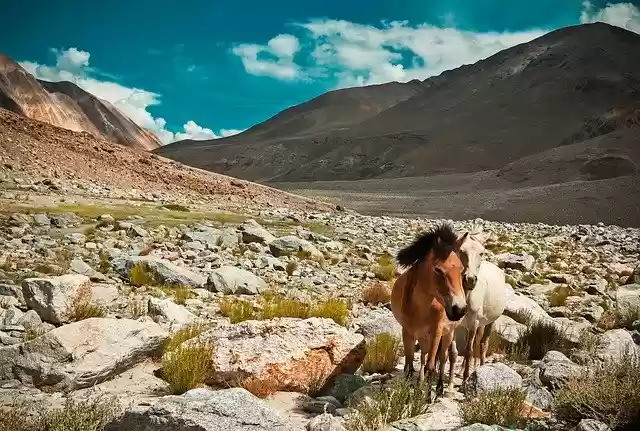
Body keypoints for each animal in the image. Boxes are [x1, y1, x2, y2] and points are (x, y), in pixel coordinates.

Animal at [390, 223, 468, 386]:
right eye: (437, 269)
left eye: (461, 269)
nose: (459, 309)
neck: (420, 308)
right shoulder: (408, 332)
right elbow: (409, 365)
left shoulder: (436, 331)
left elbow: (430, 366)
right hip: (422, 336)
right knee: (423, 357)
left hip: (447, 334)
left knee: (443, 358)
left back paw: (439, 387)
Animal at [436, 230, 507, 391]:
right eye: (461, 251)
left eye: (481, 253)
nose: (470, 279)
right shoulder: (454, 325)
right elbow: (453, 353)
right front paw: (450, 384)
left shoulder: (473, 325)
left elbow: (469, 351)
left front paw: (465, 381)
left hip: (490, 322)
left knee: (482, 344)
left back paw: (480, 367)